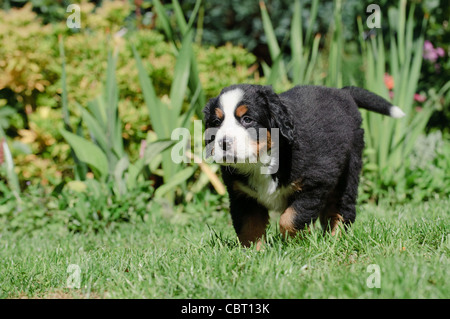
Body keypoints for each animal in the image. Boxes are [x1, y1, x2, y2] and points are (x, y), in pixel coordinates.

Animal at [203, 85, 404, 250]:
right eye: (216, 122)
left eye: (247, 119)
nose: (224, 143)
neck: (262, 162)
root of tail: (342, 92)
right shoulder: (242, 195)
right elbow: (249, 226)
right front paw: (253, 253)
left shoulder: (315, 182)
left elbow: (290, 218)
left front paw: (296, 242)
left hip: (348, 170)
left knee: (341, 209)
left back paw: (335, 241)